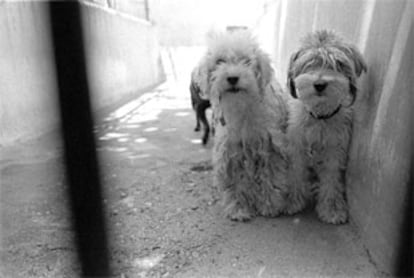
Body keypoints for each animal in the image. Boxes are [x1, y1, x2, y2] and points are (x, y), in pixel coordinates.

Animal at [198, 30, 292, 222]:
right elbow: (237, 181)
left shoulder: (270, 147)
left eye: (246, 61)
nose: (233, 78)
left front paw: (269, 206)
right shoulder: (233, 151)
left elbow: (270, 175)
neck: (242, 108)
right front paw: (239, 209)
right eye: (220, 61)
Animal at [286, 29, 368, 224]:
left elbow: (331, 178)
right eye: (309, 63)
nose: (319, 84)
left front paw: (332, 208)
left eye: (338, 64)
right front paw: (292, 199)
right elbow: (296, 171)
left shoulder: (335, 150)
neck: (320, 118)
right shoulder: (297, 146)